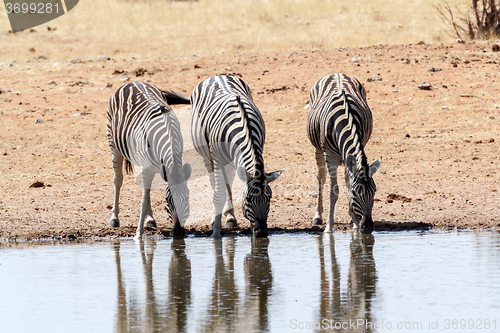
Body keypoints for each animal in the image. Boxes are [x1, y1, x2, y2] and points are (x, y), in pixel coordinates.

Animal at [107, 82, 191, 239]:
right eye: (167, 200)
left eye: (187, 198)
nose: (178, 232)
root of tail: (131, 83)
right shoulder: (146, 166)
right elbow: (143, 200)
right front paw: (138, 234)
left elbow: (147, 195)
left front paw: (148, 222)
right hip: (114, 146)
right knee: (117, 180)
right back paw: (114, 218)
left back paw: (150, 220)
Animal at [191, 76, 284, 236]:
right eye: (248, 199)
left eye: (269, 198)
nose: (261, 232)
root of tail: (217, 75)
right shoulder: (217, 158)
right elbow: (219, 192)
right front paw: (215, 227)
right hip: (207, 156)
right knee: (215, 183)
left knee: (228, 181)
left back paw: (230, 217)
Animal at [304, 73, 382, 233]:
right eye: (356, 192)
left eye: (374, 191)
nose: (368, 227)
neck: (343, 122)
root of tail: (336, 74)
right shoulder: (330, 155)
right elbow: (333, 191)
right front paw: (329, 227)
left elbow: (348, 182)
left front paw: (355, 222)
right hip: (318, 148)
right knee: (321, 177)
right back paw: (318, 216)